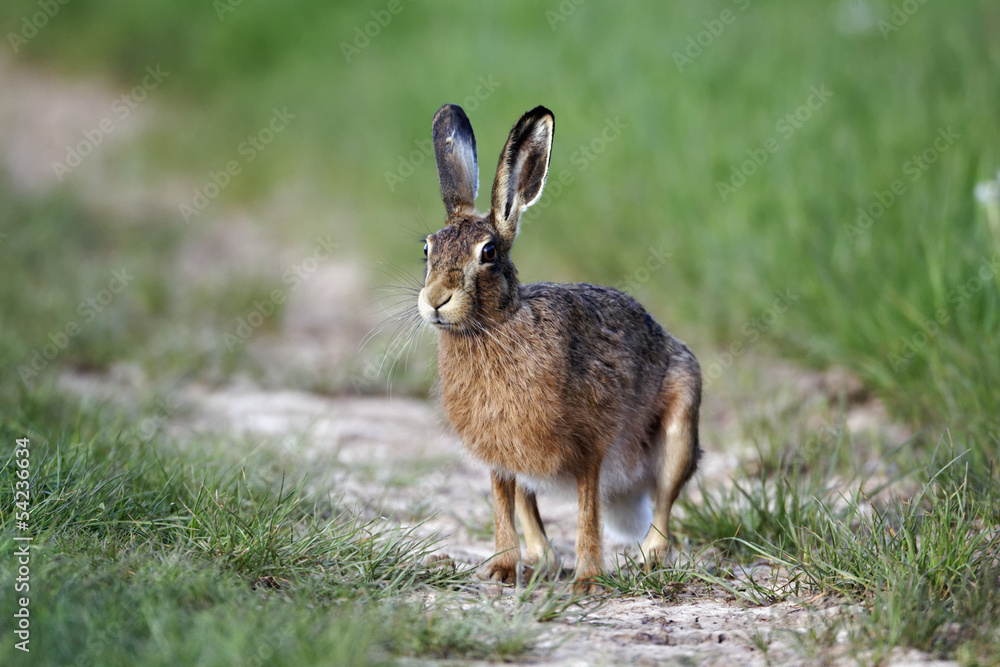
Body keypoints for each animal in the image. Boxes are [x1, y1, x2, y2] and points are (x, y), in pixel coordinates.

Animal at [418, 103, 702, 592]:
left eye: (488, 253)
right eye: (426, 250)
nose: (436, 299)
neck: (497, 325)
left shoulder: (590, 447)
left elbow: (588, 513)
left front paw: (588, 581)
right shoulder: (500, 458)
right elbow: (503, 506)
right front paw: (501, 569)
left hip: (681, 426)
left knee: (664, 502)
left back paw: (645, 559)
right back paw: (538, 563)